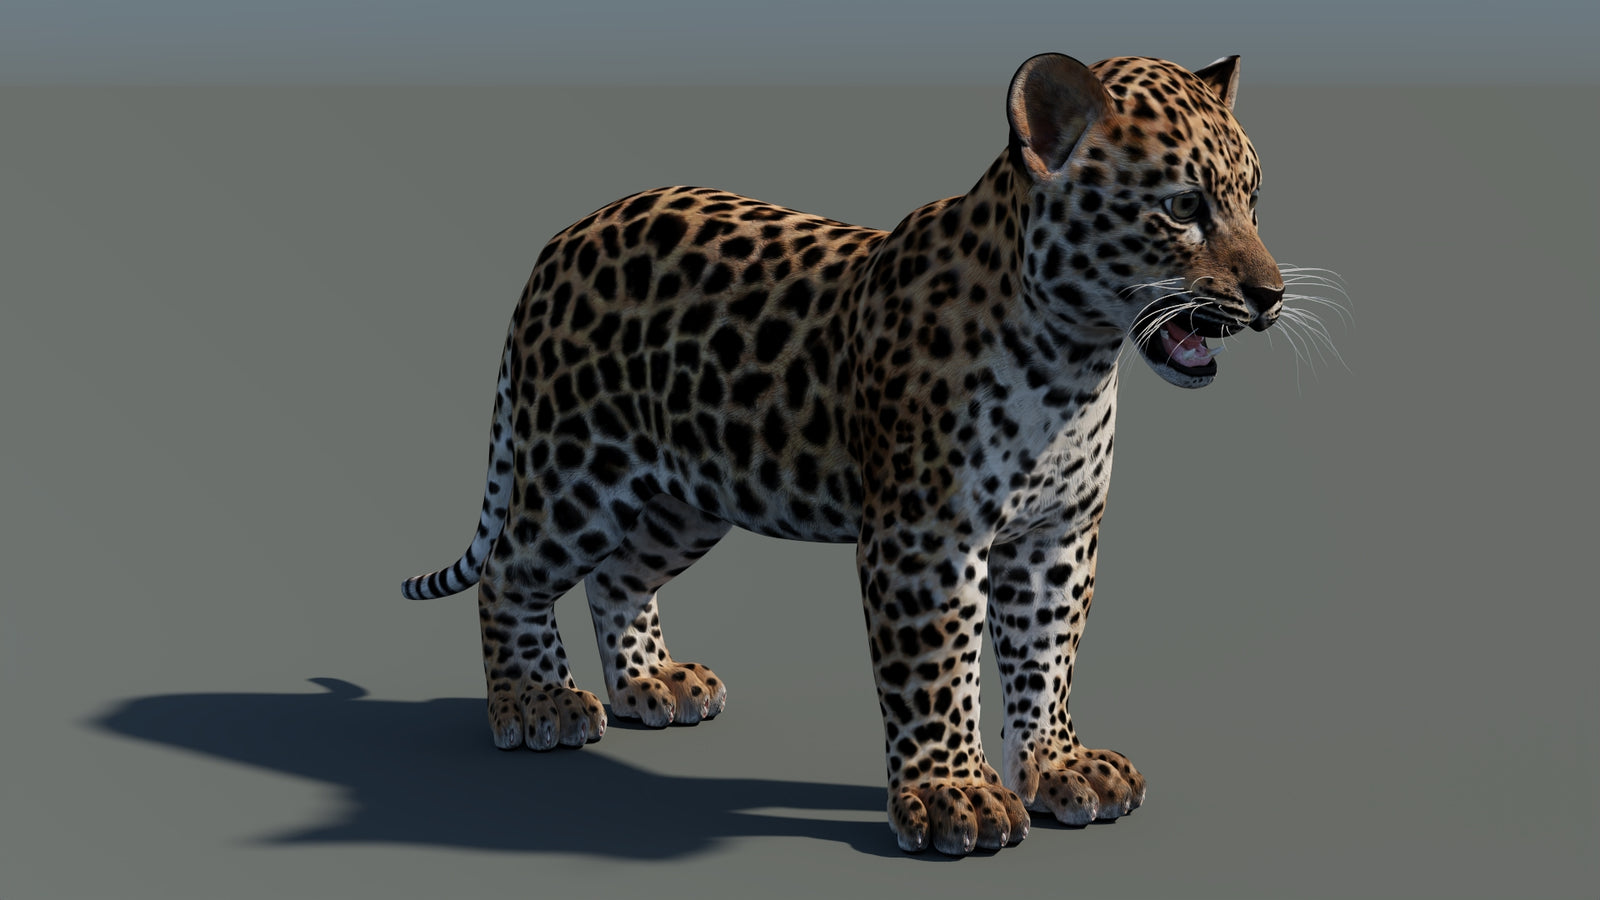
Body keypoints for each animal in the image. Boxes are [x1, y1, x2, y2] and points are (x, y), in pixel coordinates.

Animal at [403, 52, 1289, 856]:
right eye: (1183, 206)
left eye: (1253, 204)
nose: (1271, 297)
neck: (1072, 362)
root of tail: (565, 235)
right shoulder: (925, 538)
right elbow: (937, 666)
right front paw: (954, 797)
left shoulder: (1056, 534)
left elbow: (1046, 651)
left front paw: (1057, 765)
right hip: (578, 471)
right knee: (511, 572)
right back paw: (537, 703)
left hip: (688, 496)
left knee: (617, 575)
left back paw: (650, 683)